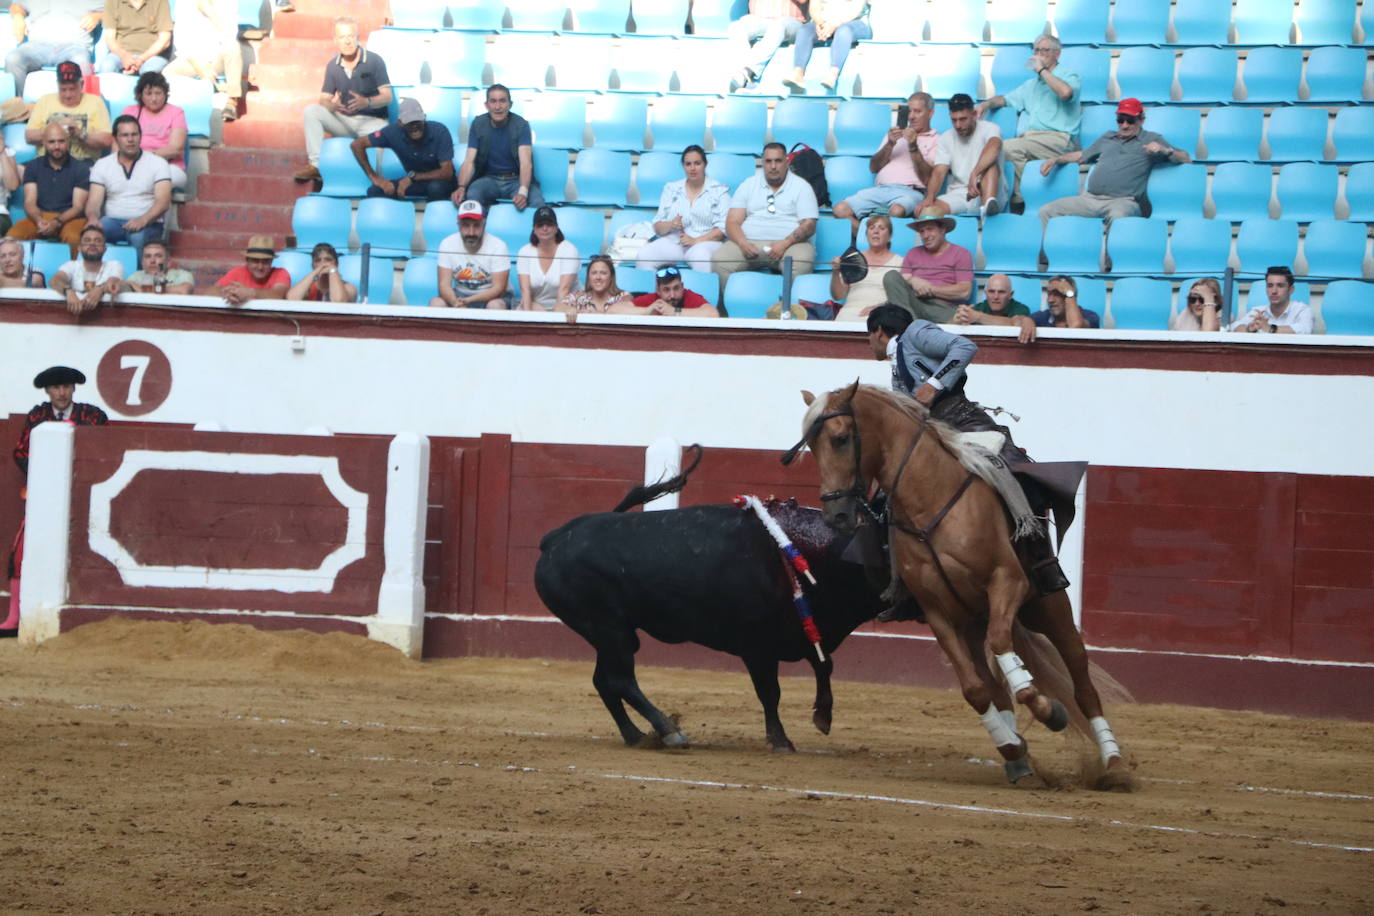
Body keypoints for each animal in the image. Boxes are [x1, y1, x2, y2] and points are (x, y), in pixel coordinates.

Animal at [530, 477, 884, 747]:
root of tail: (554, 539)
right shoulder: (757, 647)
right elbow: (771, 692)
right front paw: (780, 740)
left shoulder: (808, 628)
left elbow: (824, 665)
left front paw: (822, 717)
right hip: (609, 628)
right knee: (620, 679)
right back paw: (668, 731)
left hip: (613, 634)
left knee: (604, 681)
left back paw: (636, 735)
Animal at [796, 379, 1126, 791]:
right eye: (811, 445)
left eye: (840, 439)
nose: (836, 515)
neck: (928, 499)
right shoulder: (938, 612)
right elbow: (975, 689)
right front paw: (1012, 746)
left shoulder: (1007, 581)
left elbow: (1006, 653)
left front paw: (1048, 711)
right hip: (974, 622)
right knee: (996, 688)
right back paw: (1018, 757)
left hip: (1048, 608)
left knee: (1081, 680)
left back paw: (1113, 764)